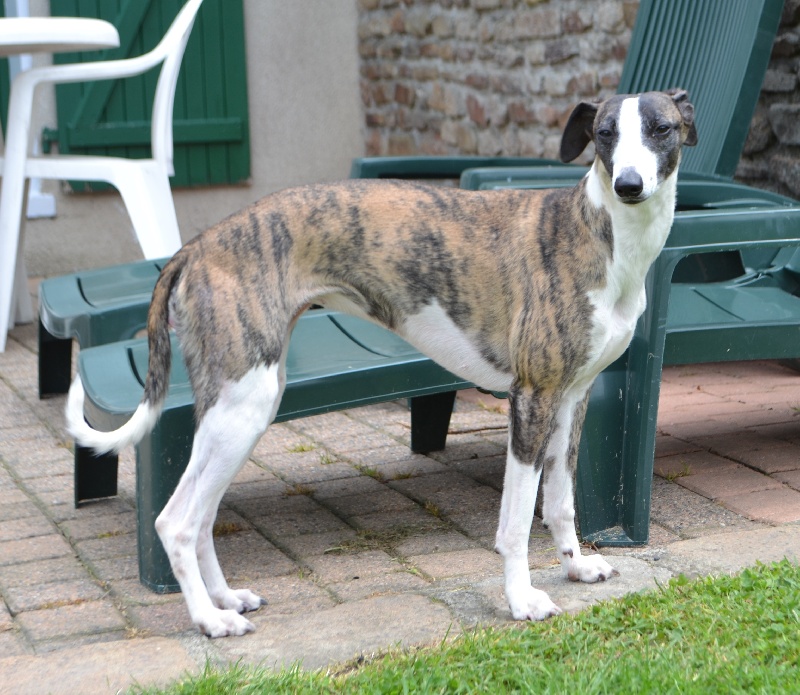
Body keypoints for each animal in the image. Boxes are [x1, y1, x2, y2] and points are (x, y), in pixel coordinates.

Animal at [67, 89, 697, 638]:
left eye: (660, 128)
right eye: (605, 132)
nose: (629, 185)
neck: (597, 233)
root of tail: (195, 247)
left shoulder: (570, 399)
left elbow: (561, 501)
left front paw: (577, 567)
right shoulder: (531, 397)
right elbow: (516, 520)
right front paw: (522, 600)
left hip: (241, 408)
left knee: (201, 515)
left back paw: (225, 598)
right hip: (242, 405)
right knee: (175, 520)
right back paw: (210, 620)